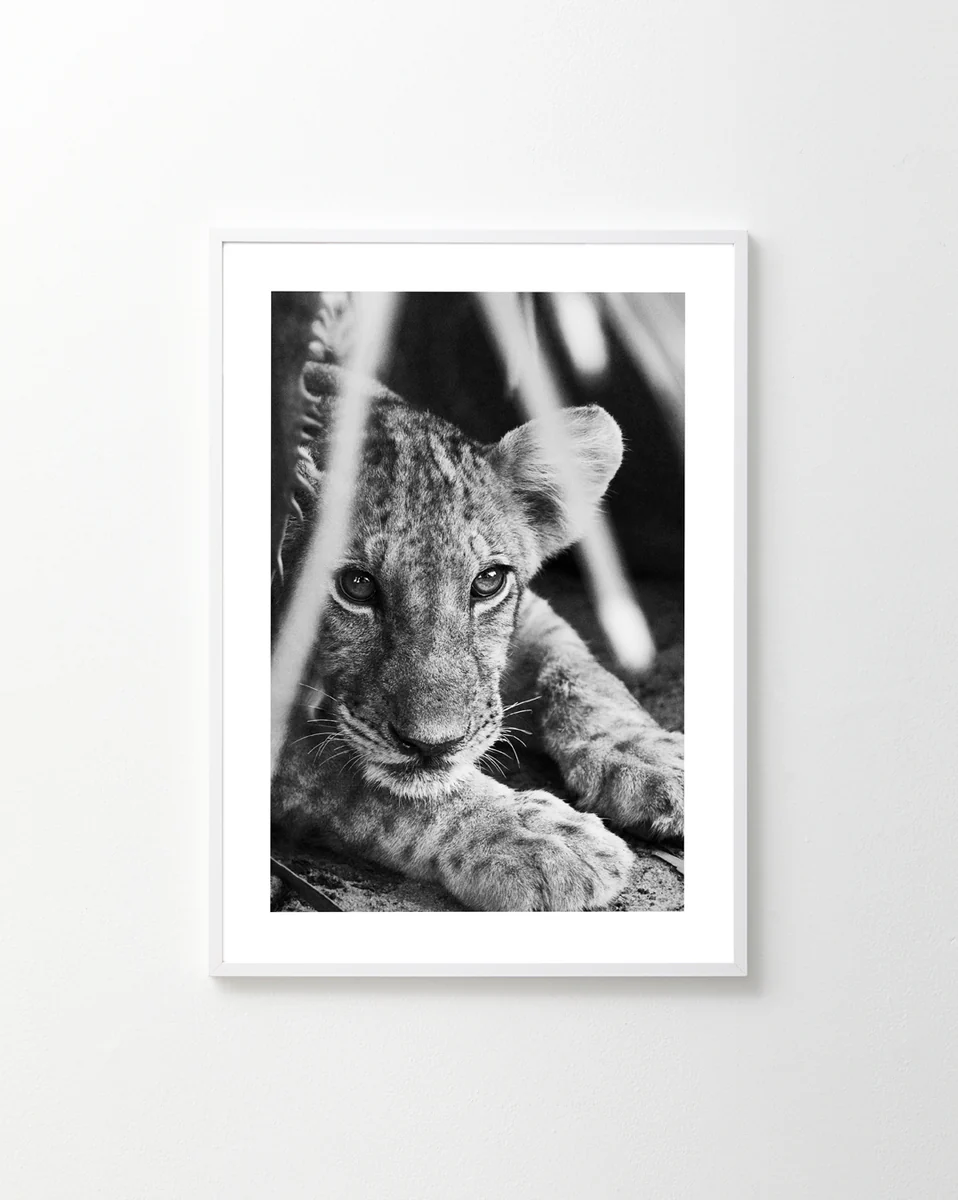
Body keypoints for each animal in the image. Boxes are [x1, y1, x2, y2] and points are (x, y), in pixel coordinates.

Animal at [271, 362, 684, 911]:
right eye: (355, 585)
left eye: (488, 582)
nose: (435, 745)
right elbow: (361, 783)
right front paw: (539, 838)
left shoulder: (534, 614)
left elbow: (582, 677)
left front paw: (661, 760)